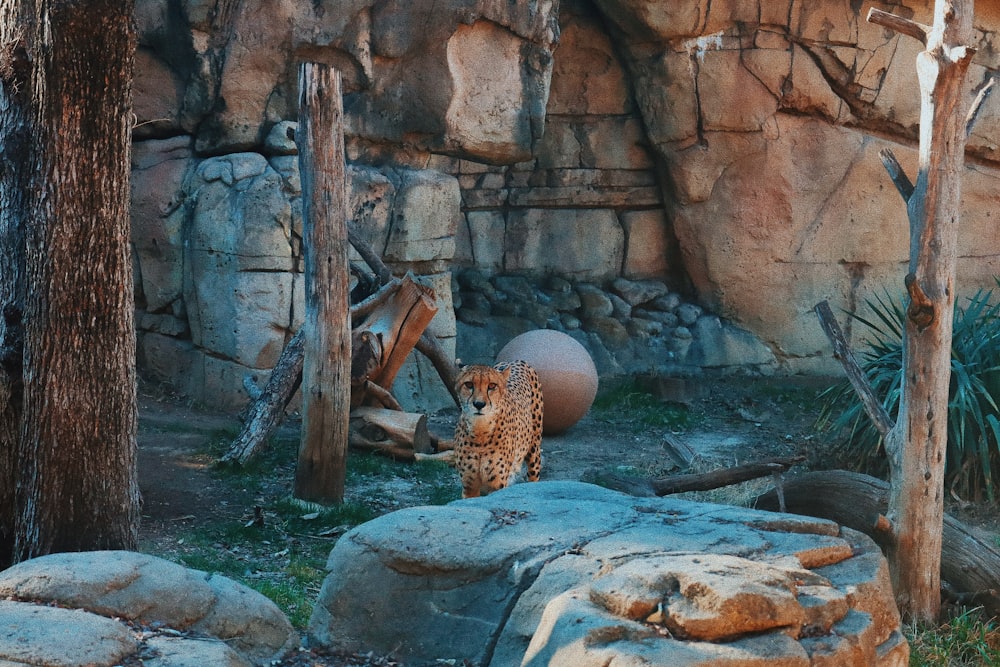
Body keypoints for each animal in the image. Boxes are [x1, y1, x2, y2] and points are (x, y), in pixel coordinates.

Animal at [456, 362, 548, 498]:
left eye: (492, 386)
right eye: (469, 384)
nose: (479, 404)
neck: (480, 433)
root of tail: (518, 361)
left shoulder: (496, 485)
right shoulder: (469, 487)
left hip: (534, 450)